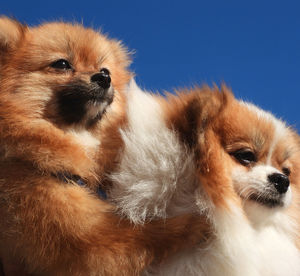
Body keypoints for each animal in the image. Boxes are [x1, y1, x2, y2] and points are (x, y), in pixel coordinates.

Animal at [0, 18, 209, 274]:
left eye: (105, 70)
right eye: (62, 64)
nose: (103, 78)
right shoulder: (83, 241)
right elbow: (148, 233)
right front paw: (195, 223)